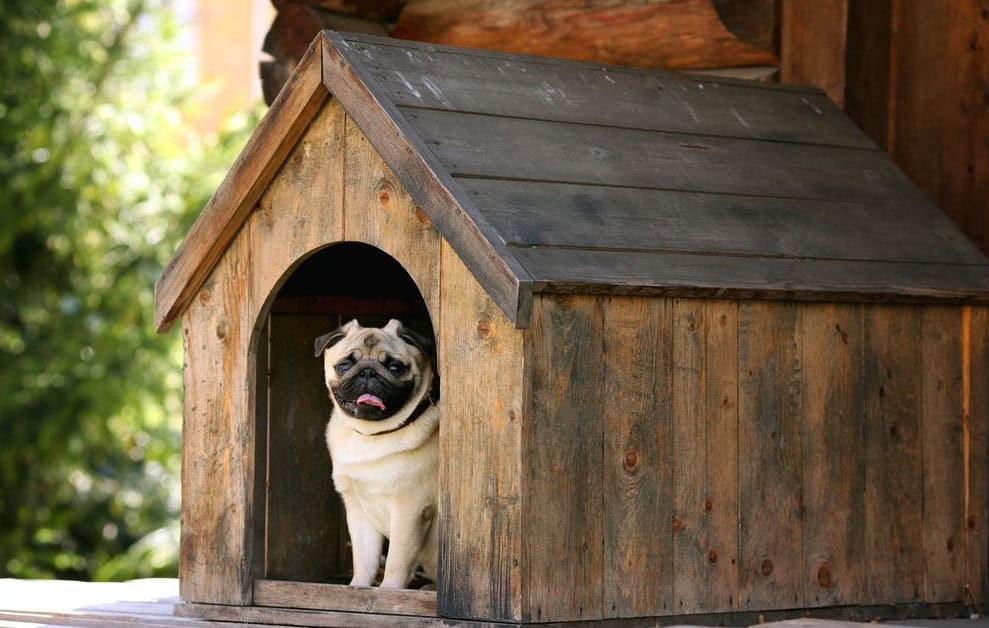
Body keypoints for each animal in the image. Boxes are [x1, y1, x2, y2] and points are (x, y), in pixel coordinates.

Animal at [314, 318, 438, 588]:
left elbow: (396, 562)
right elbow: (364, 559)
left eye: (395, 367)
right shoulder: (359, 511)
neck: (371, 435)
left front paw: (389, 591)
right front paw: (359, 587)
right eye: (345, 365)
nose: (368, 372)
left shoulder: (409, 510)